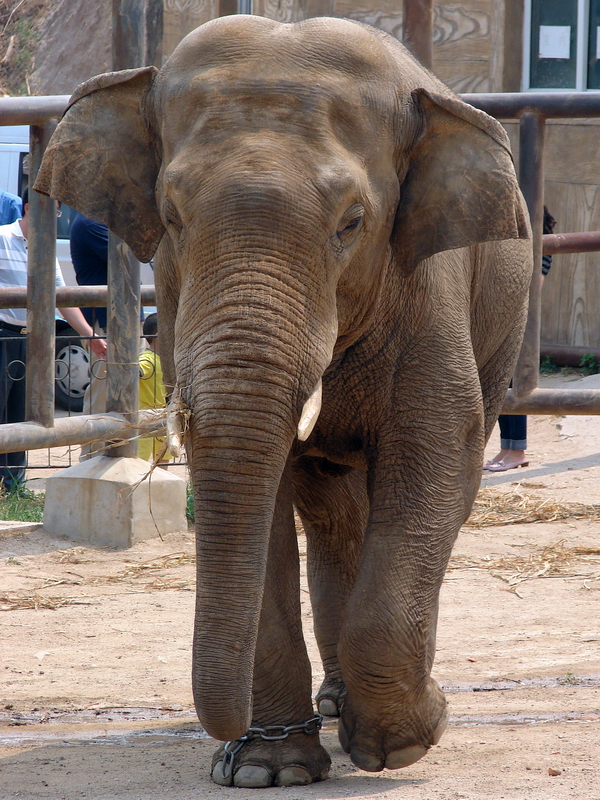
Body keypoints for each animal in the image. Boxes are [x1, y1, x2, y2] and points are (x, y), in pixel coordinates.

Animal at [36, 14, 533, 789]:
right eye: (172, 216)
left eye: (352, 222)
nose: (227, 739)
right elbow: (251, 491)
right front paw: (267, 771)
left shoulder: (432, 292)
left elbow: (437, 460)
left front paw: (409, 739)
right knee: (331, 506)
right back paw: (331, 705)